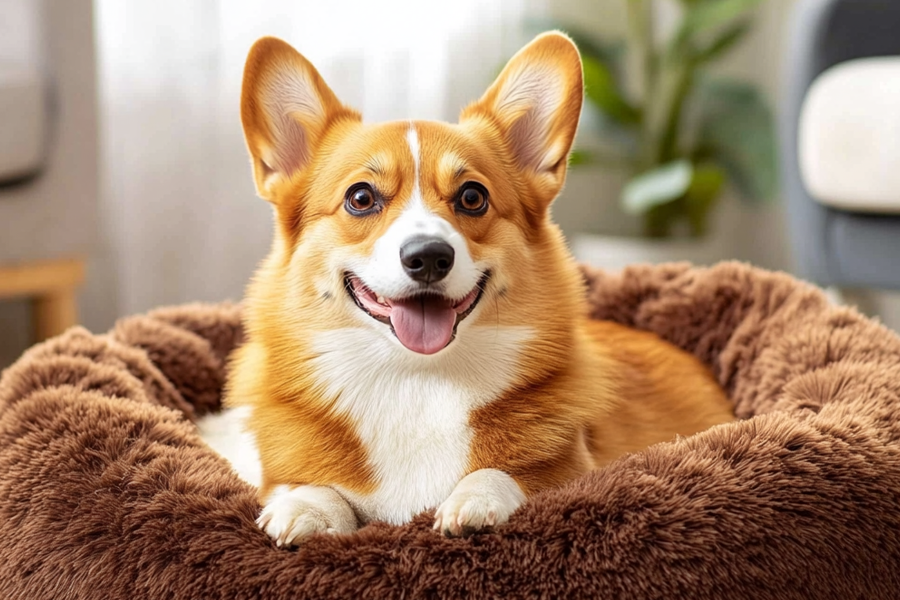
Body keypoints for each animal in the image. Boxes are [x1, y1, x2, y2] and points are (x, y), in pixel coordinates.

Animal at [214, 32, 736, 548]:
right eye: (360, 198)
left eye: (472, 196)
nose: (428, 257)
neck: (415, 380)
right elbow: (306, 483)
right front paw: (308, 507)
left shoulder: (576, 469)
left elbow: (510, 473)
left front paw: (475, 501)